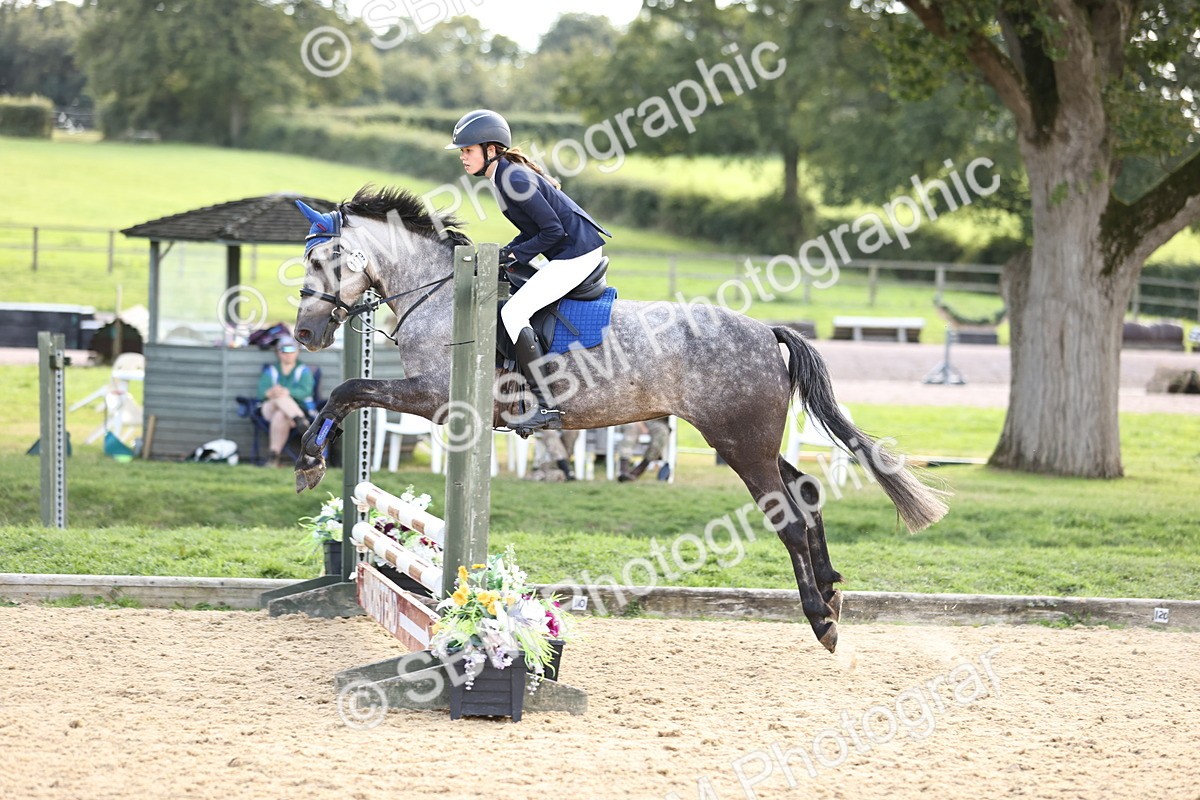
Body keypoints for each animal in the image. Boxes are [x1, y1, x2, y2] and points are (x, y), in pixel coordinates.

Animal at [291, 186, 949, 653]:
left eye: (328, 261)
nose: (305, 334)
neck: (439, 292)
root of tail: (767, 331)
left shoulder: (432, 398)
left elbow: (349, 388)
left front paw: (308, 460)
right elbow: (348, 395)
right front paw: (312, 460)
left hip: (740, 444)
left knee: (786, 513)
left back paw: (821, 620)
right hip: (750, 441)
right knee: (806, 489)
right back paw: (833, 591)